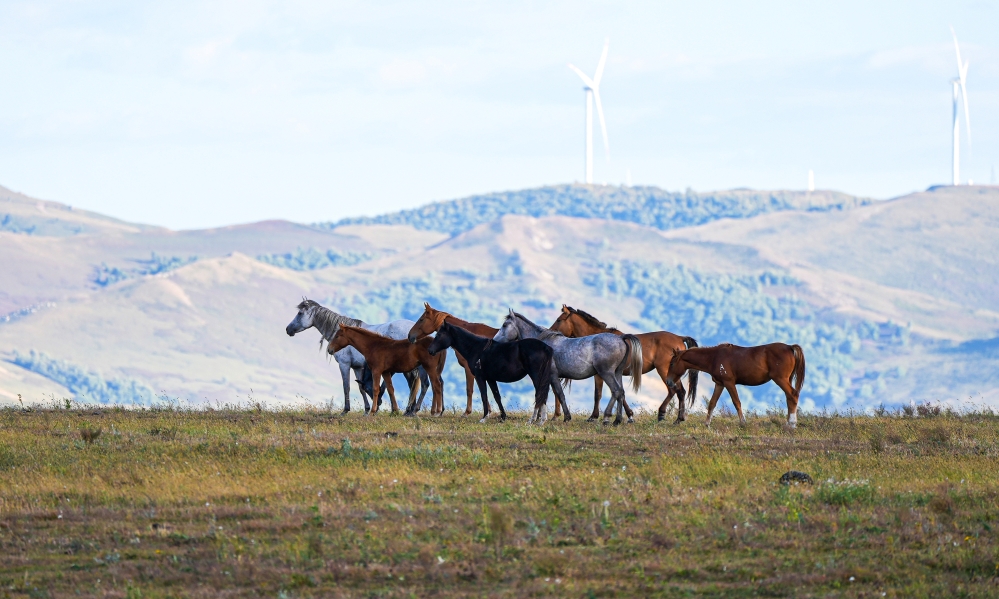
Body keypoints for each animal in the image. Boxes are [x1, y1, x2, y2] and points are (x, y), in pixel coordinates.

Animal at [284, 298, 428, 412]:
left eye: (300, 313)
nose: (288, 329)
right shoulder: (357, 367)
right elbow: (360, 387)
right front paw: (367, 409)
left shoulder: (344, 364)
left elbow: (346, 386)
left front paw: (346, 410)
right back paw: (408, 411)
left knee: (414, 383)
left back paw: (410, 410)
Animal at [430, 322, 572, 424]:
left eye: (439, 335)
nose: (430, 351)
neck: (477, 349)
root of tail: (546, 347)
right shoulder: (491, 378)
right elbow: (496, 396)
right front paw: (503, 417)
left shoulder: (480, 377)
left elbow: (484, 395)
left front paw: (484, 417)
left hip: (536, 376)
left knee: (540, 394)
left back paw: (536, 420)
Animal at [490, 312, 644, 424]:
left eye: (504, 325)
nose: (494, 341)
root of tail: (621, 338)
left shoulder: (552, 376)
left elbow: (559, 394)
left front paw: (566, 417)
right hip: (616, 373)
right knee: (621, 392)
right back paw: (617, 420)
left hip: (606, 373)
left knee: (616, 391)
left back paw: (607, 418)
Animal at [552, 304, 700, 426]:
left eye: (559, 320)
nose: (551, 331)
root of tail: (680, 338)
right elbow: (620, 393)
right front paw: (628, 416)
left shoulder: (600, 375)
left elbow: (598, 394)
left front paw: (594, 417)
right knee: (680, 392)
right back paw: (679, 418)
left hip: (664, 370)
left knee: (674, 390)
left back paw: (663, 414)